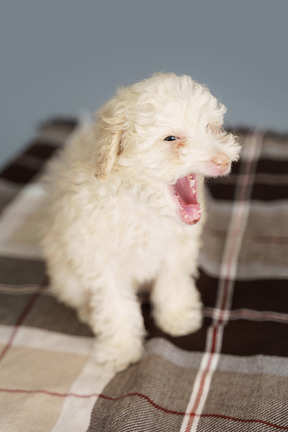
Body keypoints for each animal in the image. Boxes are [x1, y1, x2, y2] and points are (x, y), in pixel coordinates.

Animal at [41, 73, 241, 372]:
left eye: (212, 128)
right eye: (171, 138)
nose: (223, 160)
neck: (144, 205)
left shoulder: (177, 248)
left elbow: (173, 282)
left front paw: (178, 317)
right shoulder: (99, 258)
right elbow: (115, 306)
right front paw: (120, 349)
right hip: (66, 276)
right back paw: (89, 311)